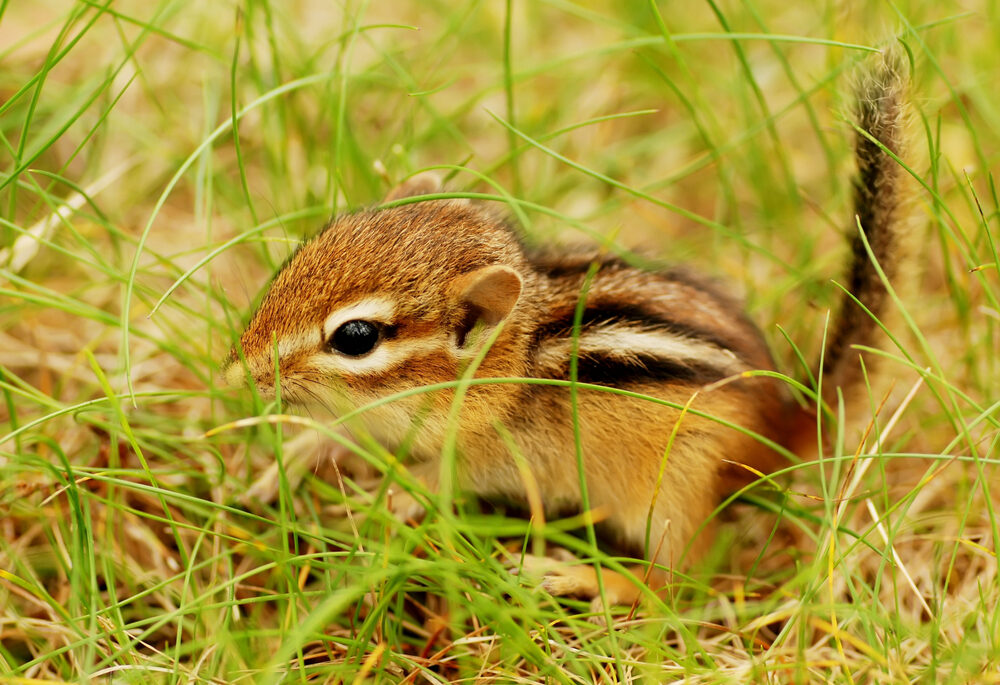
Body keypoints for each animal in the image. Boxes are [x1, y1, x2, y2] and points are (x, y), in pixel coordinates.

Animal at [224, 50, 913, 608]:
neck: (511, 363)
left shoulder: (504, 457)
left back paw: (578, 577)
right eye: (308, 250)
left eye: (356, 338)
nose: (237, 373)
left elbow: (442, 478)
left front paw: (384, 499)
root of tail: (788, 421)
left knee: (679, 583)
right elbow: (340, 434)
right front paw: (289, 461)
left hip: (675, 491)